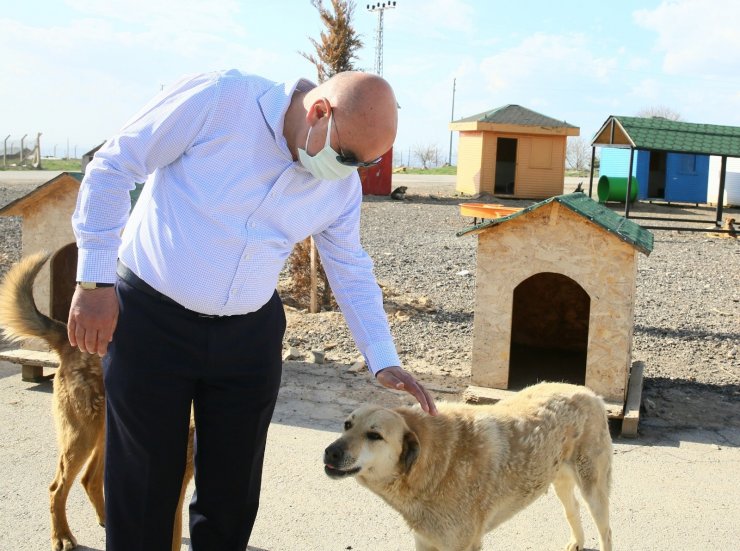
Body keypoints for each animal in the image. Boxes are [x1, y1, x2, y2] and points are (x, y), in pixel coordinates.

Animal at [0, 254, 195, 551]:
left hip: (105, 434)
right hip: (81, 436)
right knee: (57, 488)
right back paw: (62, 536)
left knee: (90, 479)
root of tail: (67, 338)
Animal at [324, 384, 612, 551]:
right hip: (559, 478)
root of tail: (588, 391)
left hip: (594, 489)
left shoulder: (462, 544)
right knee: (573, 508)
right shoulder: (425, 541)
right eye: (347, 425)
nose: (330, 451)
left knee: (606, 530)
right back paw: (577, 542)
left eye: (374, 435)